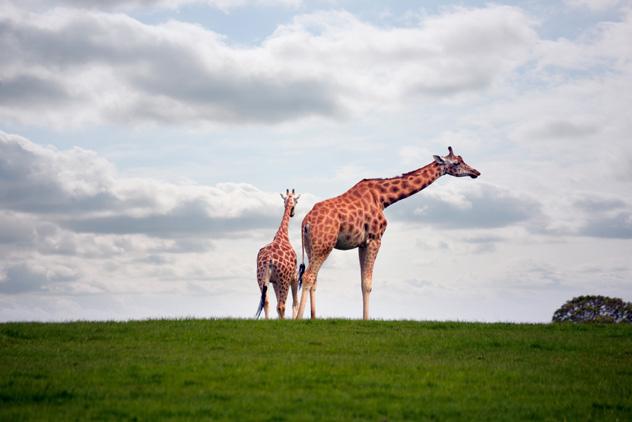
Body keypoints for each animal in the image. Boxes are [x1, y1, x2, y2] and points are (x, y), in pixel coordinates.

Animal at [254, 190, 302, 318]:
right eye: (296, 201)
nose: (292, 213)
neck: (282, 236)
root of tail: (268, 260)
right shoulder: (294, 276)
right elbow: (295, 303)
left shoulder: (274, 281)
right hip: (284, 280)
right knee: (282, 305)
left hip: (261, 278)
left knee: (265, 301)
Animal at [296, 146, 478, 320]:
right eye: (456, 163)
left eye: (462, 159)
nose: (476, 172)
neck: (384, 198)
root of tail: (306, 222)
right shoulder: (375, 238)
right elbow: (368, 284)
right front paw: (366, 320)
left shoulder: (362, 244)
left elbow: (362, 282)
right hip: (325, 244)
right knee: (308, 276)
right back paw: (298, 318)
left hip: (312, 246)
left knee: (314, 278)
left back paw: (313, 317)